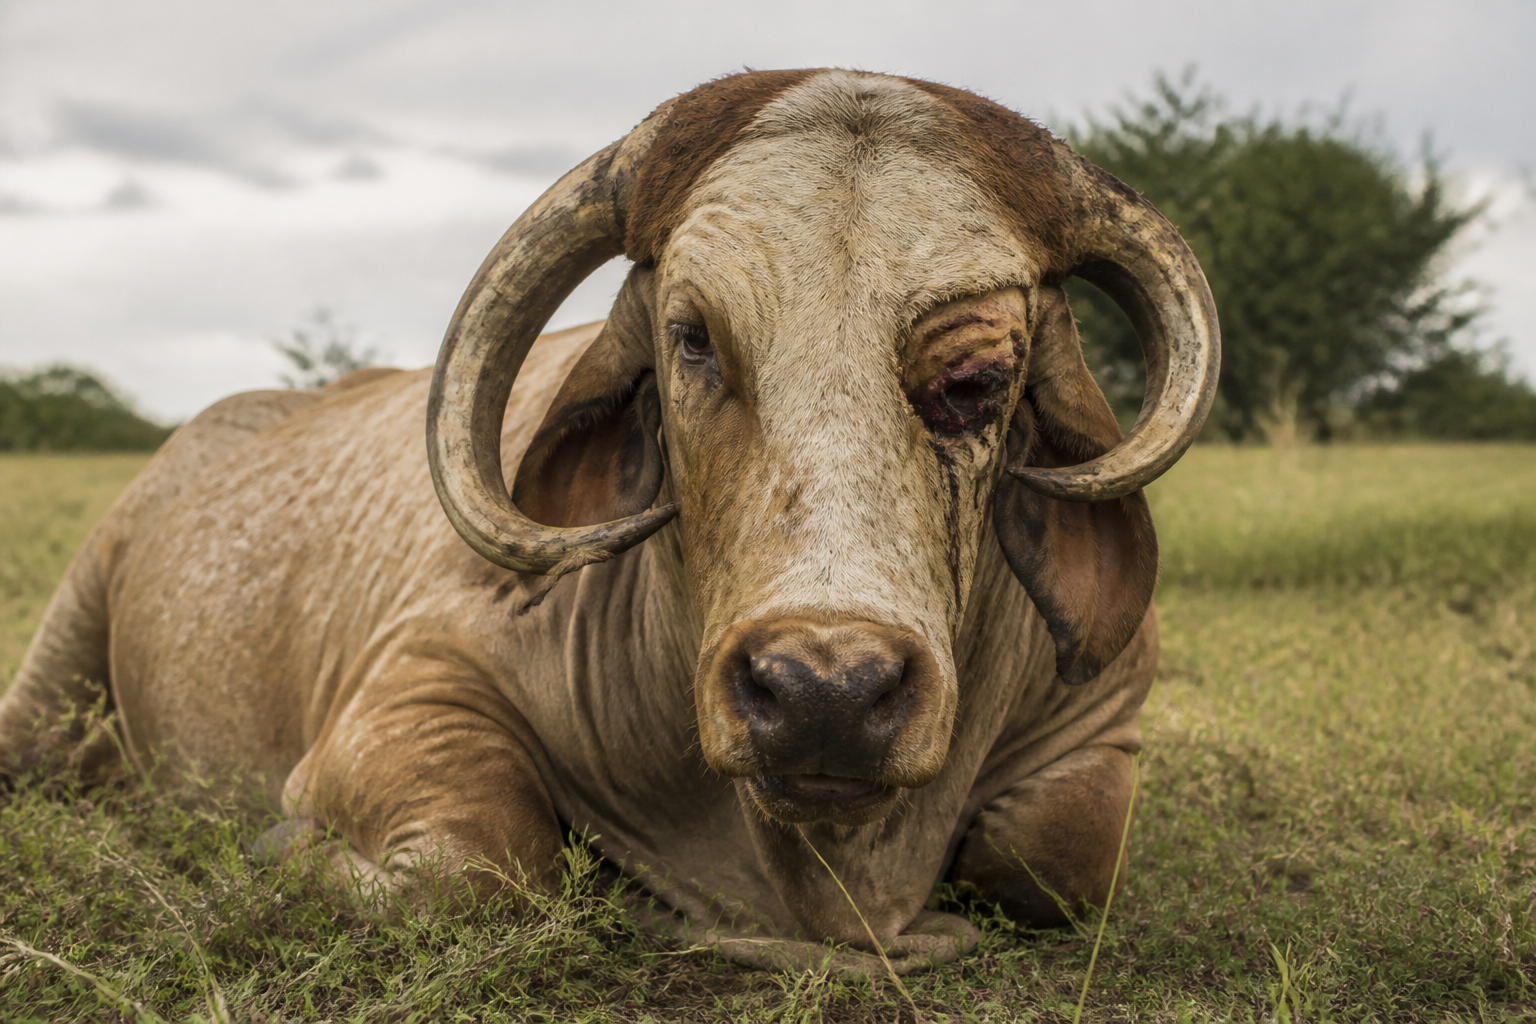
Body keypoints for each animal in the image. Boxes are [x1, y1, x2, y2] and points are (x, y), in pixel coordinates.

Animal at [0, 69, 1217, 974]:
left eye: (979, 374)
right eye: (692, 336)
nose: (823, 693)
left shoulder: (1100, 725)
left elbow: (1059, 859)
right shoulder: (421, 682)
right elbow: (483, 862)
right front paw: (284, 851)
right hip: (60, 660)